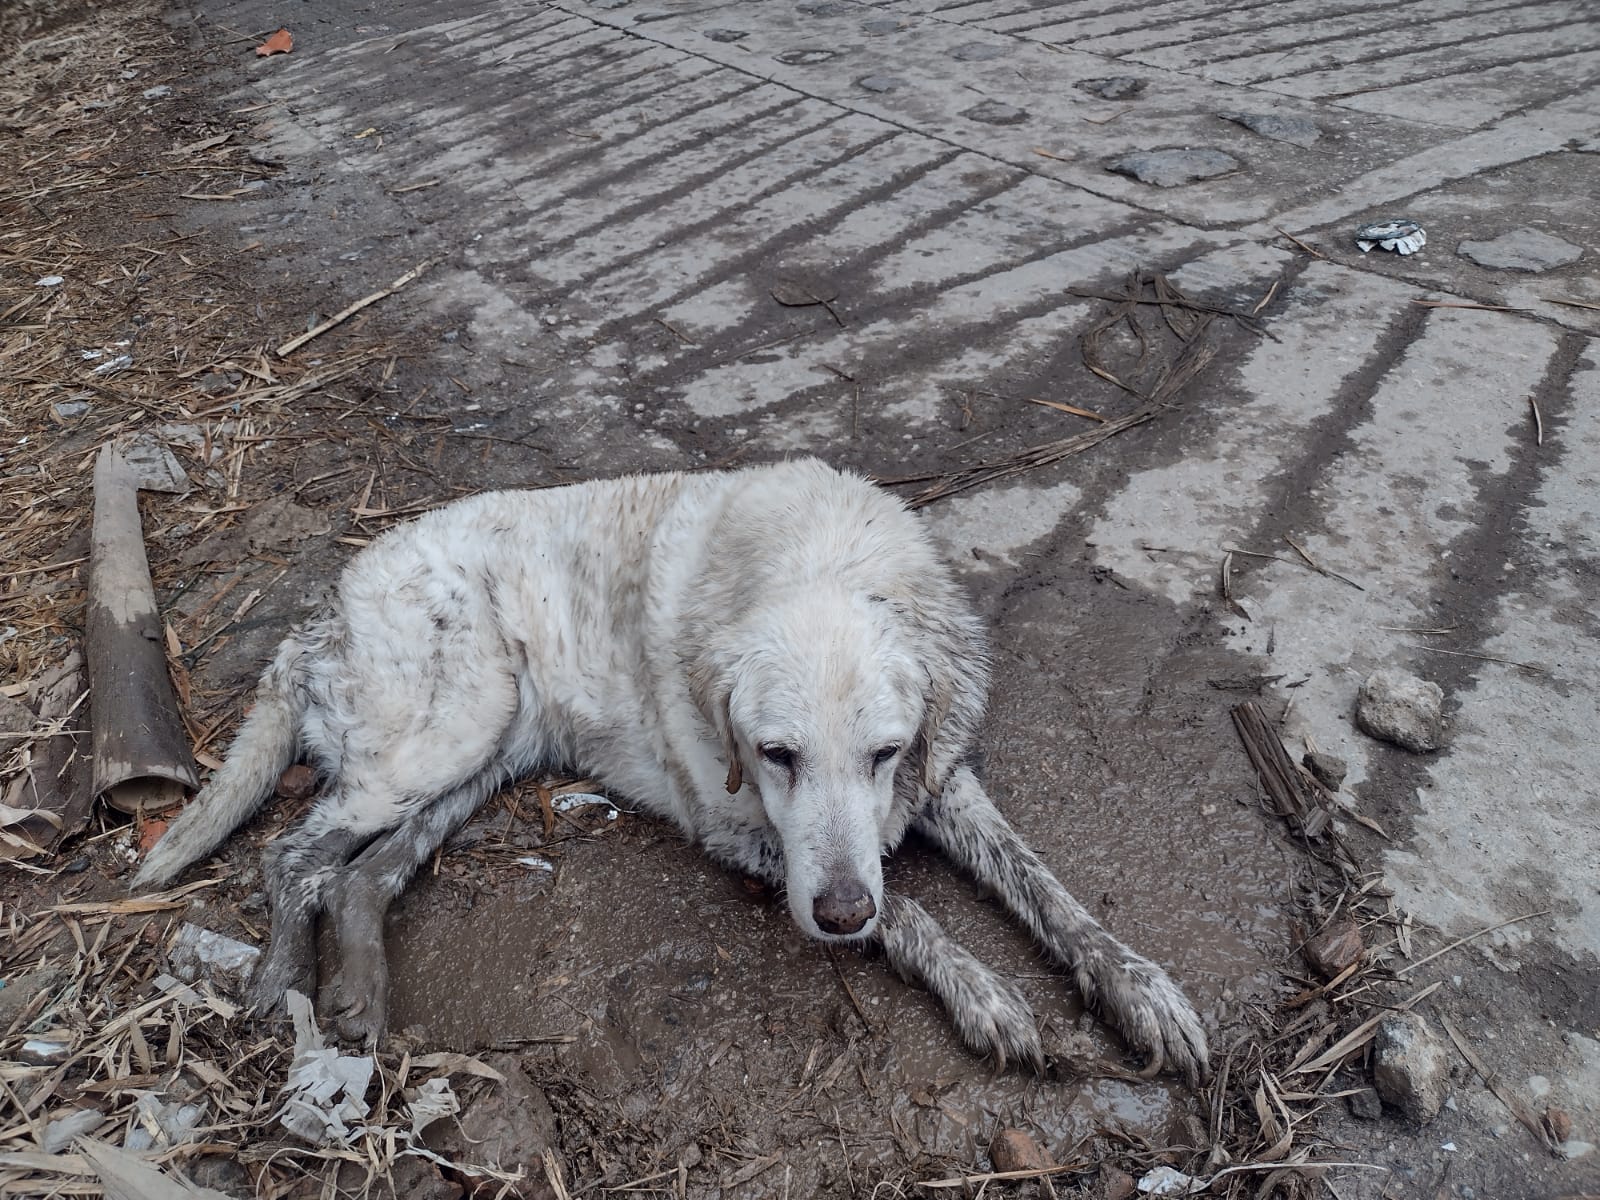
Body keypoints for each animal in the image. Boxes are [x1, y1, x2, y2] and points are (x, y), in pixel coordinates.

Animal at [137, 457, 1203, 1081]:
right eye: (775, 755)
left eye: (886, 751)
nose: (838, 918)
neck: (813, 555)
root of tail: (317, 616)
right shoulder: (736, 828)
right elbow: (910, 910)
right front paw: (982, 992)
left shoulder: (941, 777)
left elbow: (1044, 885)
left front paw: (1137, 985)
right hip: (444, 735)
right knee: (291, 854)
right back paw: (280, 977)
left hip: (484, 757)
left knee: (359, 873)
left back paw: (356, 988)